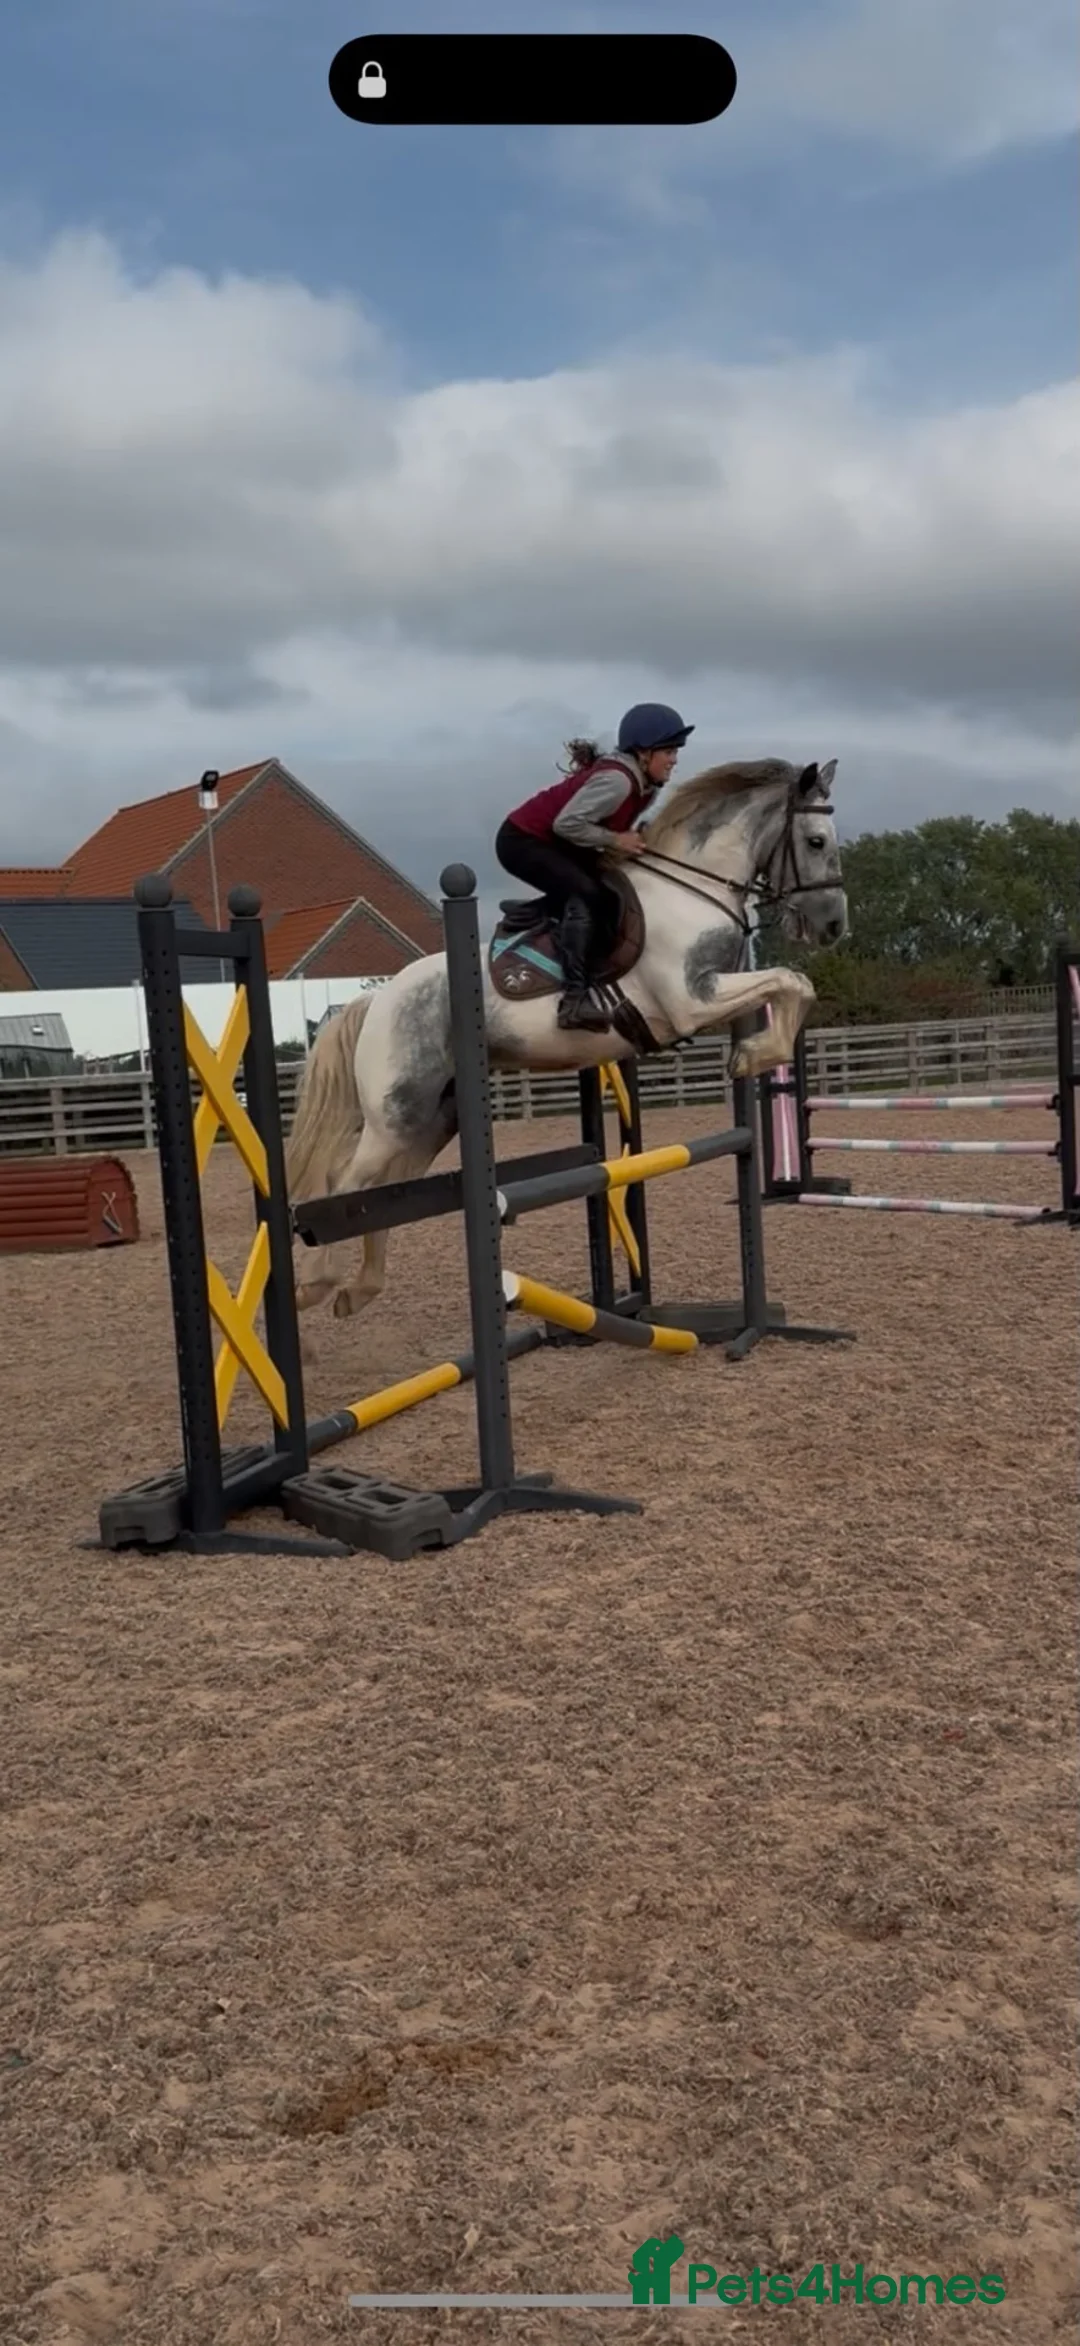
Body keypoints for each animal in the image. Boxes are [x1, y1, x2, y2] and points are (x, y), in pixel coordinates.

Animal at [285, 755, 847, 1322]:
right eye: (817, 841)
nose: (834, 926)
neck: (691, 890)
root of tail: (376, 1000)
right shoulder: (692, 1001)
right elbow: (791, 981)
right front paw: (752, 1055)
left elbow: (795, 984)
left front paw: (751, 1053)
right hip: (395, 1115)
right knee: (343, 1186)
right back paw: (315, 1284)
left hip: (432, 1119)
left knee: (382, 1193)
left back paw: (360, 1288)